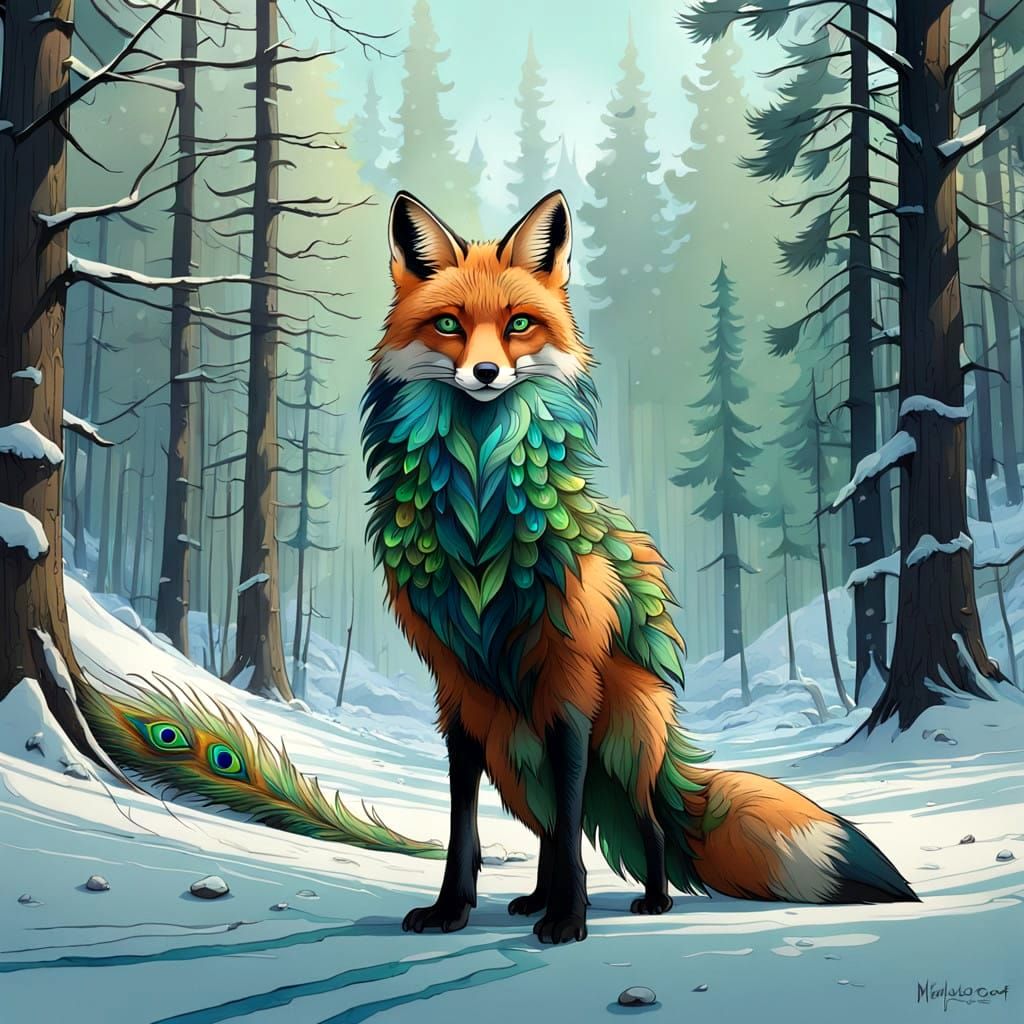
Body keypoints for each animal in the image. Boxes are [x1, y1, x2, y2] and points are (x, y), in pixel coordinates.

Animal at [361, 189, 918, 944]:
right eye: (449, 324)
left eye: (518, 325)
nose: (485, 374)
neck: (479, 514)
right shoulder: (459, 693)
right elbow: (463, 827)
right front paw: (453, 909)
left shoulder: (567, 683)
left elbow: (571, 824)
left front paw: (570, 920)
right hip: (515, 751)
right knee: (548, 826)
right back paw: (536, 898)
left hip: (620, 741)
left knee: (642, 822)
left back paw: (648, 901)